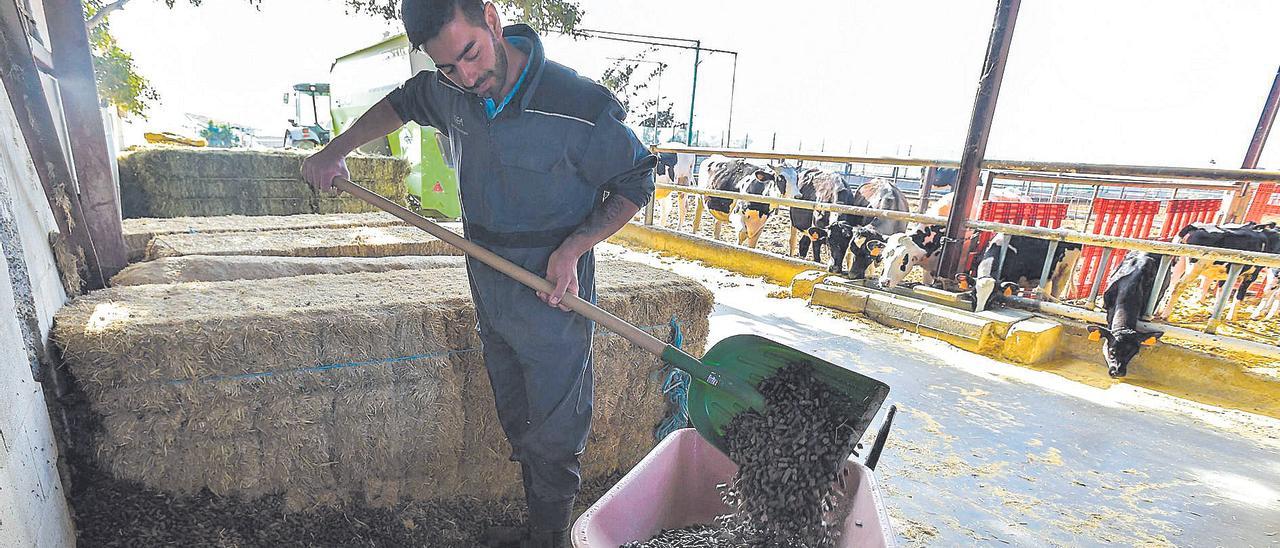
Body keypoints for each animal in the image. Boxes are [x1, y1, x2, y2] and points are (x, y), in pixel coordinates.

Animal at [1152, 220, 1280, 318]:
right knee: (1178, 286)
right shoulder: (1251, 276)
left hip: (1179, 262)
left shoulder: (1226, 273)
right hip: (1196, 266)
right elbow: (1239, 296)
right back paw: (1166, 314)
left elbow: (1221, 292)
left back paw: (1159, 310)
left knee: (1171, 282)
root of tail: (1195, 227)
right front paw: (1231, 317)